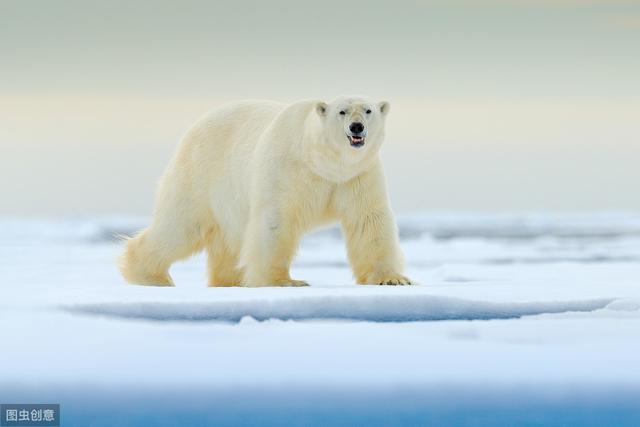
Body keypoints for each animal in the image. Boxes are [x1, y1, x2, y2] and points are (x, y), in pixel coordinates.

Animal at [120, 95, 412, 286]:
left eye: (368, 110)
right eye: (342, 111)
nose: (356, 127)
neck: (323, 163)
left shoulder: (356, 176)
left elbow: (369, 220)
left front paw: (393, 279)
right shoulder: (287, 169)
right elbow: (276, 221)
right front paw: (283, 281)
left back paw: (230, 280)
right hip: (200, 175)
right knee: (180, 225)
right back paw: (150, 276)